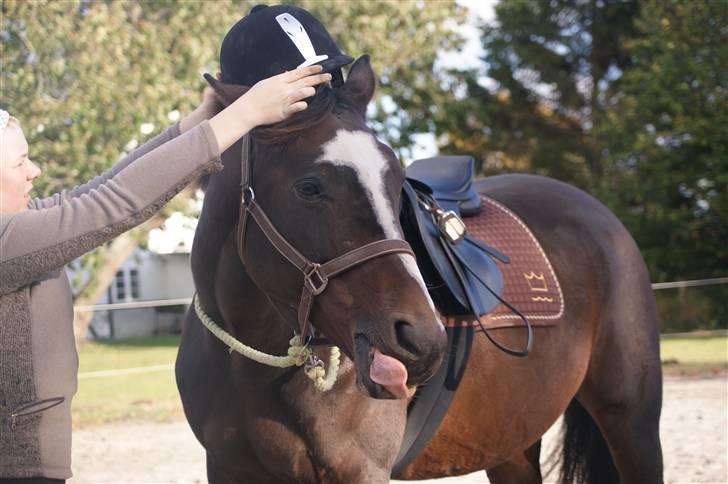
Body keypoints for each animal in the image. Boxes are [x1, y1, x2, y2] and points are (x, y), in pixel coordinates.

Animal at [176, 54, 664, 482]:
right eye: (309, 187)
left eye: (396, 183)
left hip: (632, 422)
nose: (424, 341)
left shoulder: (359, 471)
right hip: (511, 445)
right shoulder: (228, 469)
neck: (253, 367)